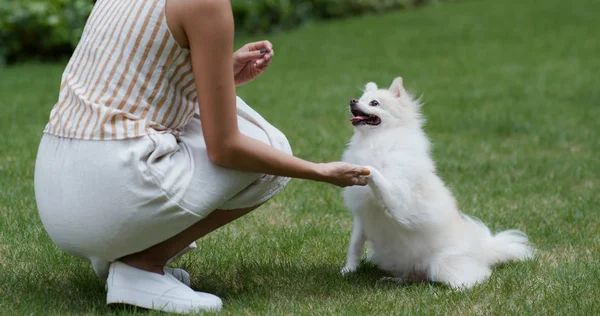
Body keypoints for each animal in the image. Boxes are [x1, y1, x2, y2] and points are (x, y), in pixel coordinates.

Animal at [340, 77, 536, 288]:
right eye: (361, 98)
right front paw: (349, 269)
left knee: (470, 277)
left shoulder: (400, 203)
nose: (352, 101)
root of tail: (482, 251)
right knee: (415, 277)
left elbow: (379, 179)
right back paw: (394, 279)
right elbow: (355, 244)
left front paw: (365, 167)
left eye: (374, 103)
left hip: (442, 265)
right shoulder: (361, 217)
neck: (377, 140)